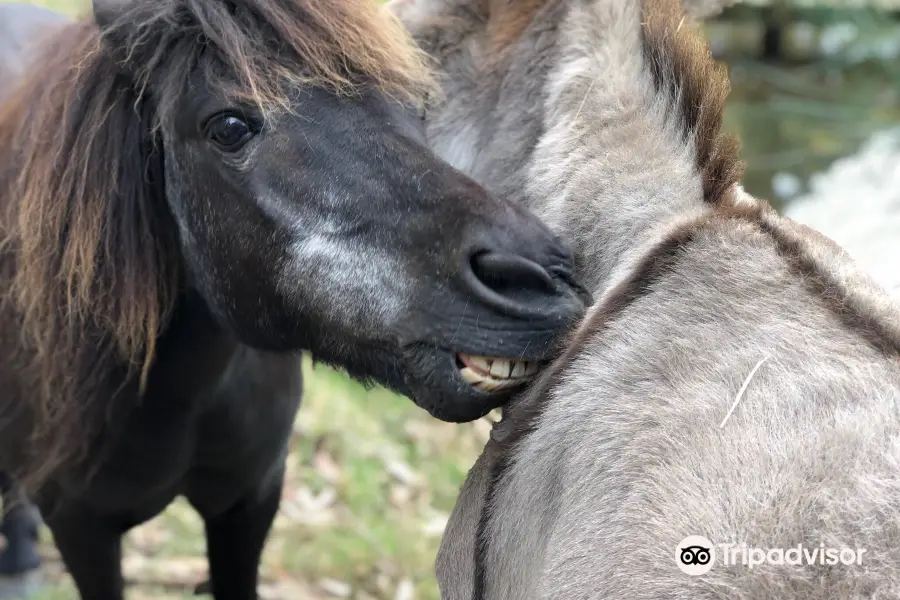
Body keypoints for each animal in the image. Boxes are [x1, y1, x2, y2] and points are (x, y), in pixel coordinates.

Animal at [0, 1, 588, 596]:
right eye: (229, 127)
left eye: (418, 105)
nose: (538, 279)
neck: (180, 396)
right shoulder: (82, 531)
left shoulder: (251, 501)